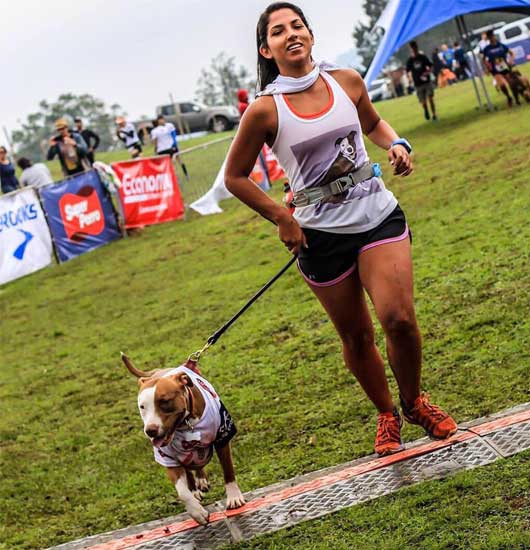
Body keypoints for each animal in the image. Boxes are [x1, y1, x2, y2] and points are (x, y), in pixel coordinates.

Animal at [120, 354, 244, 528]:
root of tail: (158, 371)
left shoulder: (223, 437)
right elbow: (182, 492)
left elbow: (228, 470)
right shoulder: (167, 458)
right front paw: (197, 512)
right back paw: (195, 488)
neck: (186, 424)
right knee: (189, 468)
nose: (150, 430)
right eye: (142, 407)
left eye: (164, 401)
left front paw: (234, 498)